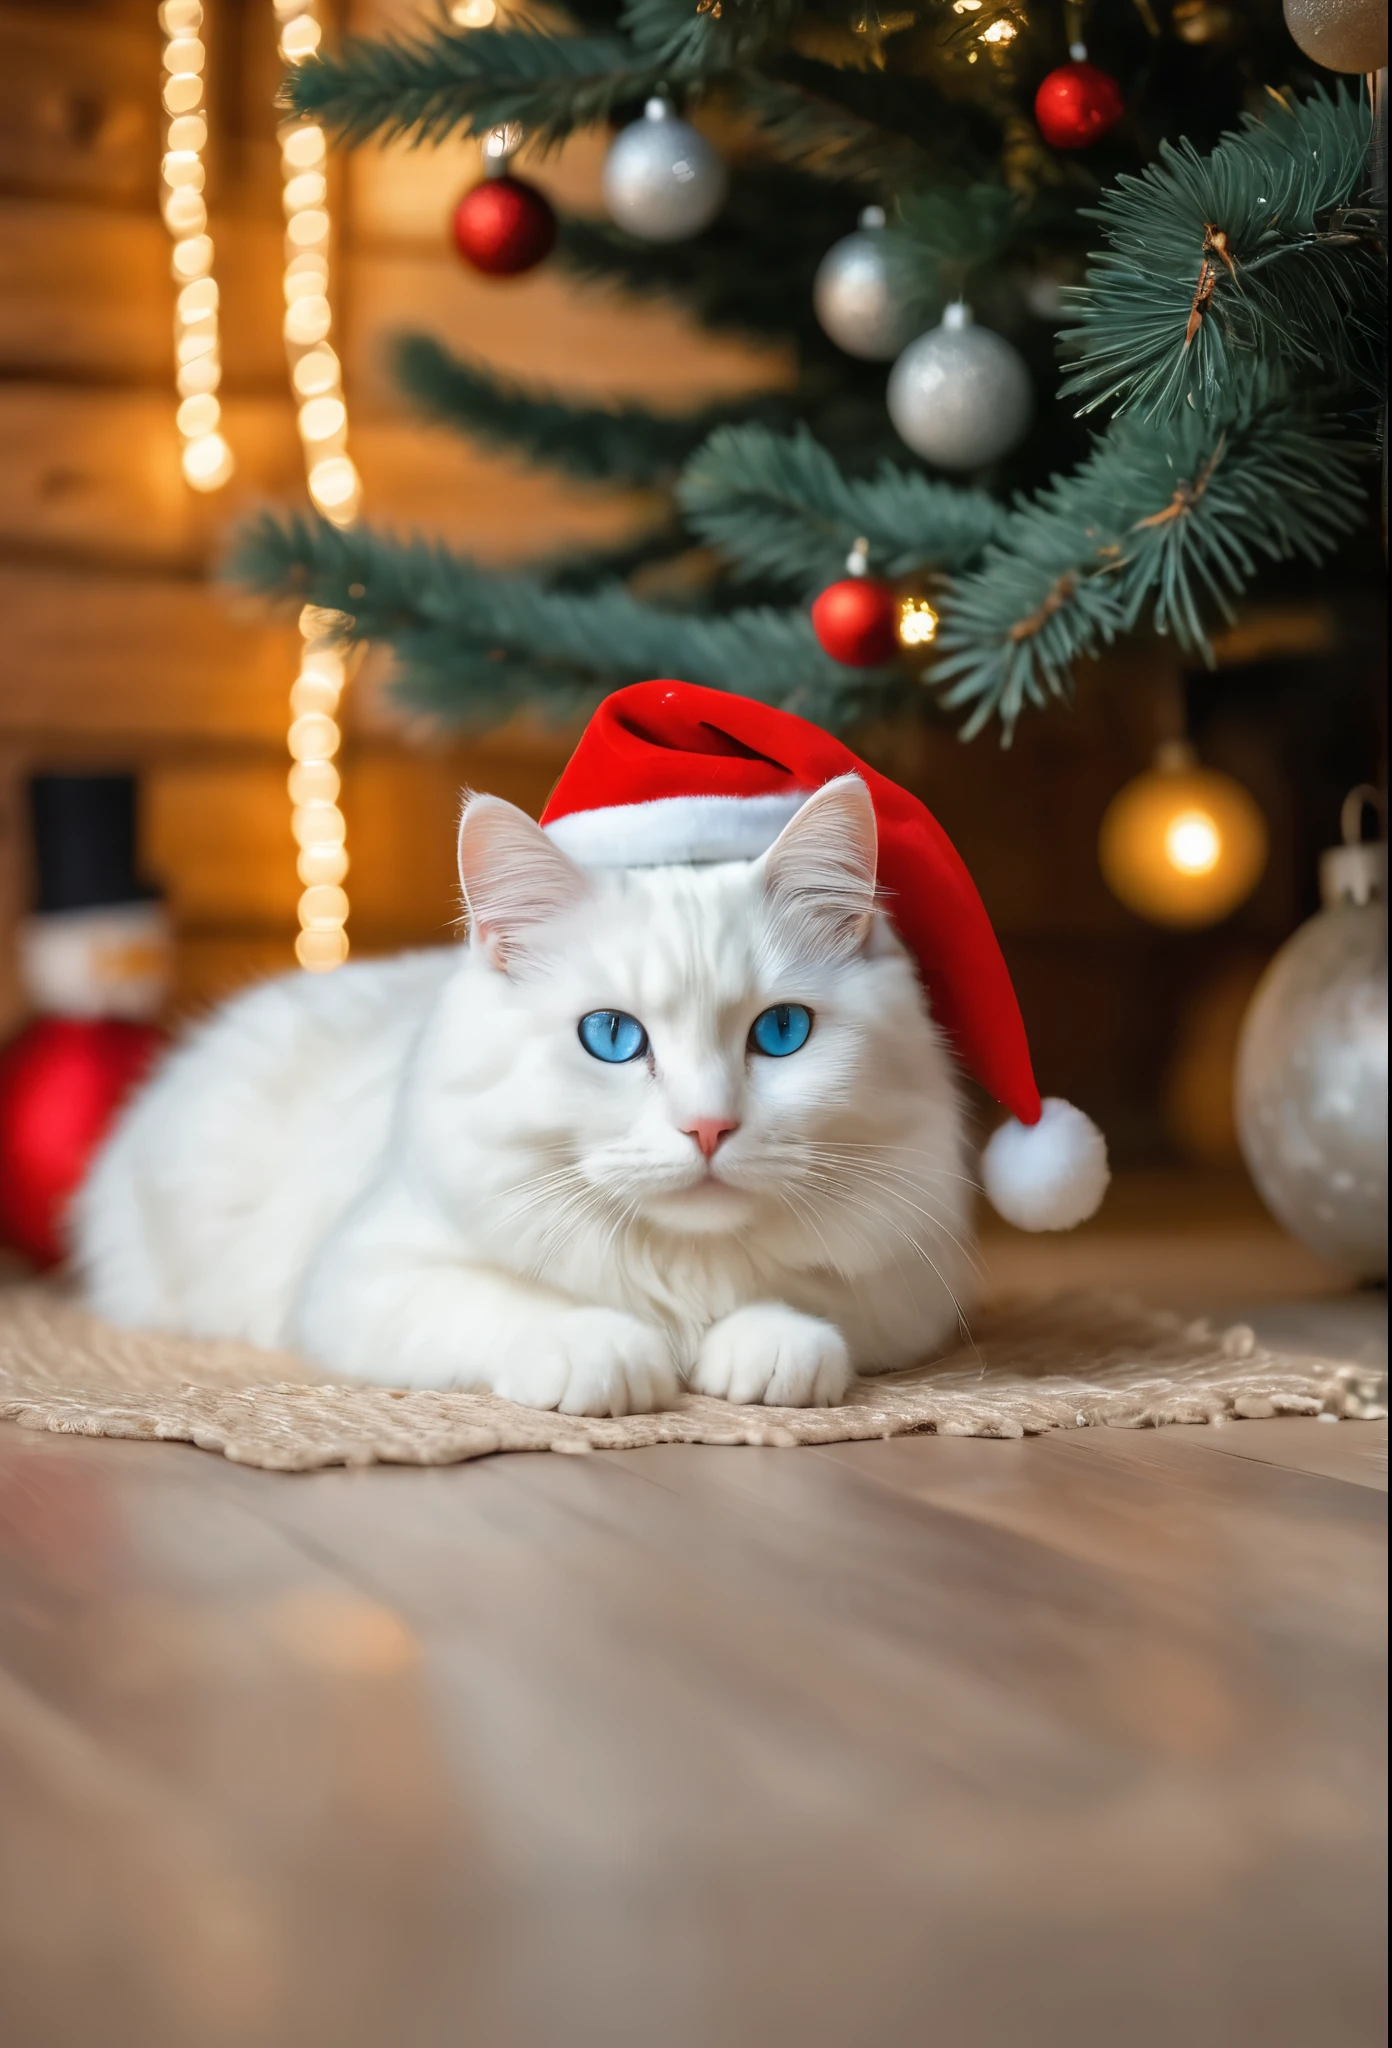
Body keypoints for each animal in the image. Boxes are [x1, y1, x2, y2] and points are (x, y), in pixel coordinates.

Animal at [73, 774, 978, 1417]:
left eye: (782, 1032)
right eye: (611, 1037)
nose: (708, 1128)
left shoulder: (905, 1282)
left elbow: (802, 1306)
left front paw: (765, 1349)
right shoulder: (364, 1275)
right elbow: (520, 1305)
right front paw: (611, 1356)